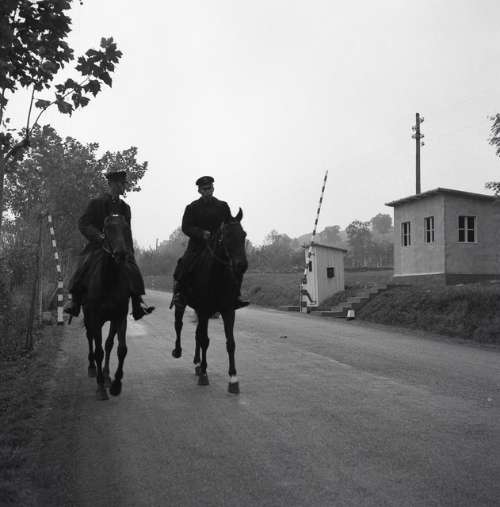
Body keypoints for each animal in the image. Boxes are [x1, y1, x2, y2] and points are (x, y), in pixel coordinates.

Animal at [83, 214, 131, 401]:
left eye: (126, 228)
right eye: (108, 229)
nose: (121, 254)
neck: (110, 280)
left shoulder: (120, 316)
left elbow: (120, 348)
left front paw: (116, 384)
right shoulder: (95, 317)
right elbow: (99, 351)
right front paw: (100, 388)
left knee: (109, 344)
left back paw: (106, 375)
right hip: (88, 317)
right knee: (90, 338)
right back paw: (92, 368)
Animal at [171, 208, 247, 394]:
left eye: (244, 235)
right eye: (227, 235)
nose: (241, 265)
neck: (216, 276)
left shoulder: (228, 311)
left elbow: (230, 343)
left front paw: (233, 379)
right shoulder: (205, 310)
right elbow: (205, 340)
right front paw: (205, 375)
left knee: (197, 334)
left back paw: (198, 363)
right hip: (182, 304)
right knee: (179, 325)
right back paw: (179, 351)